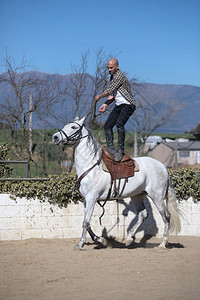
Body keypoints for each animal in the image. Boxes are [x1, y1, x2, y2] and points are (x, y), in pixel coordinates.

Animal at [52, 116, 181, 250]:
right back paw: (129, 239)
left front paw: (81, 244)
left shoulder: (92, 198)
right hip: (137, 195)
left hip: (157, 196)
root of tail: (162, 167)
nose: (55, 137)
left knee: (166, 216)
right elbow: (87, 223)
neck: (90, 166)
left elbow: (85, 223)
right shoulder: (85, 199)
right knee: (143, 215)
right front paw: (101, 240)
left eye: (73, 127)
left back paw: (163, 243)